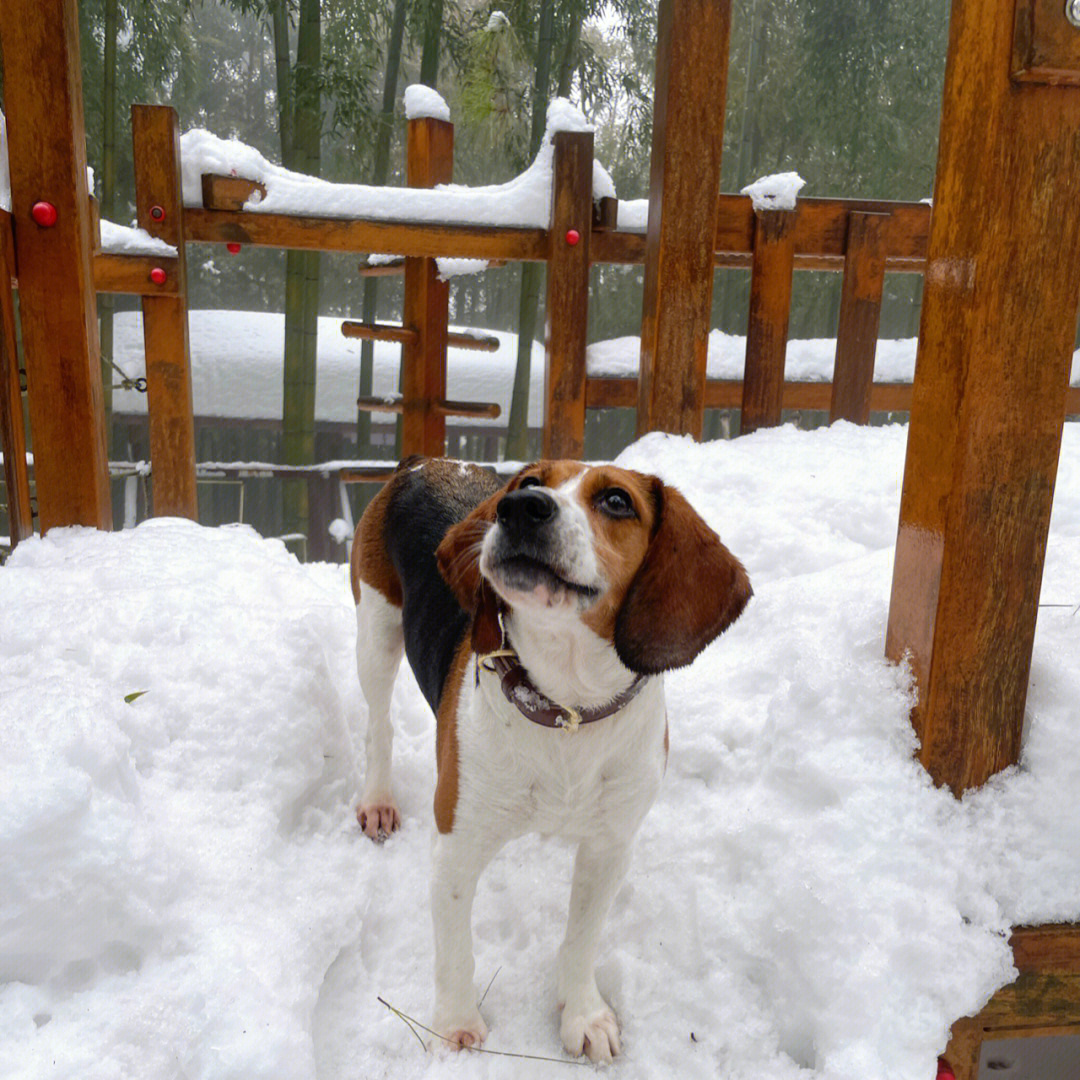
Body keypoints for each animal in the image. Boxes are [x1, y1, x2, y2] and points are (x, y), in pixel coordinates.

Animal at [347, 455, 751, 1062]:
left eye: (617, 501)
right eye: (531, 482)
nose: (521, 508)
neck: (566, 707)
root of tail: (424, 461)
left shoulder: (609, 848)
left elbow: (581, 938)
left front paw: (584, 1016)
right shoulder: (456, 850)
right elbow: (455, 951)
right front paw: (455, 1028)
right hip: (375, 632)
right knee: (379, 725)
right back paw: (376, 801)